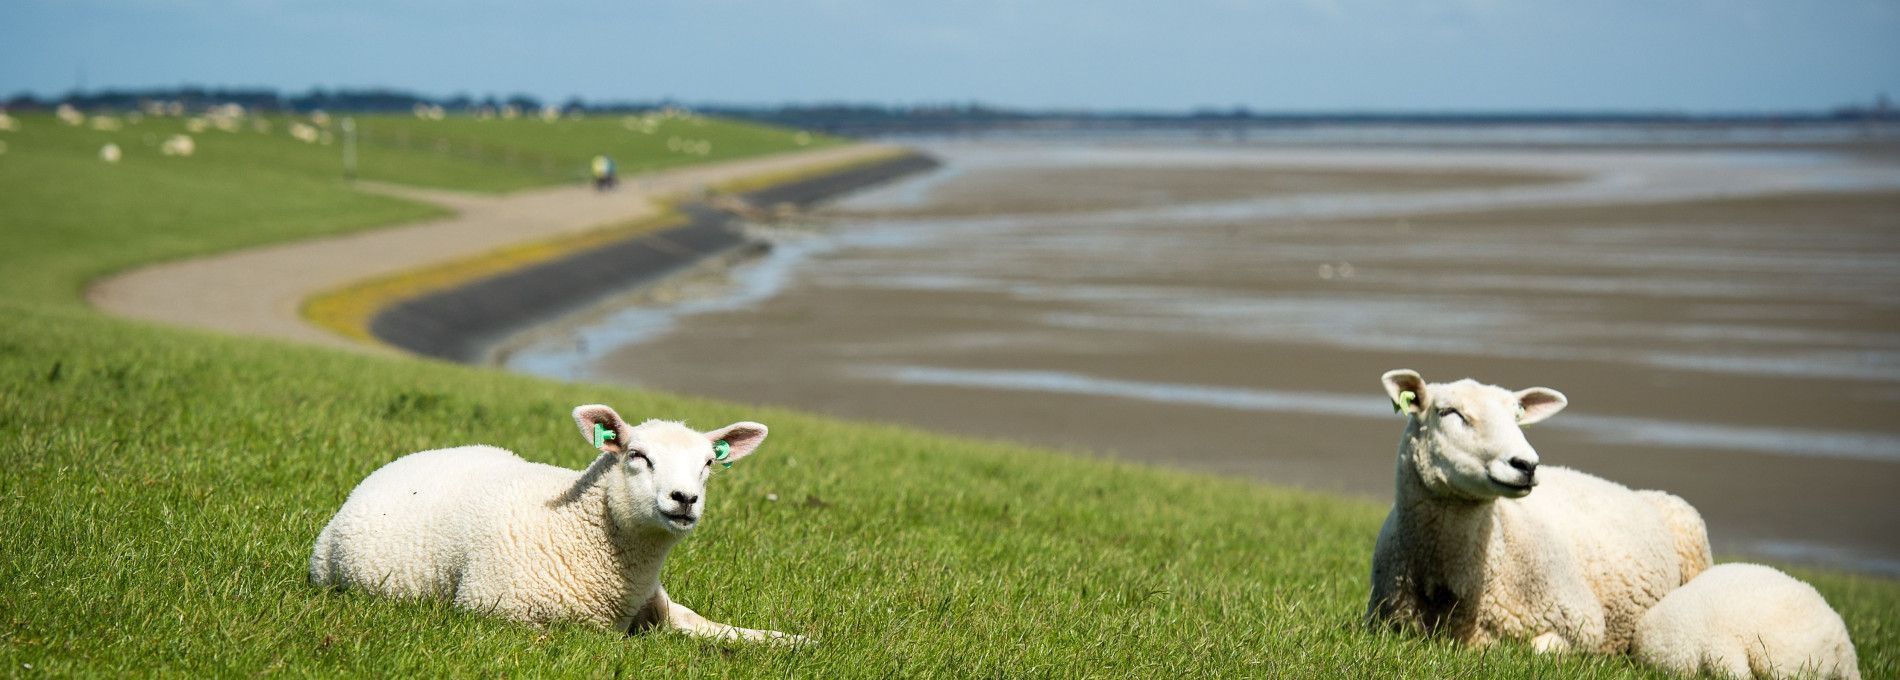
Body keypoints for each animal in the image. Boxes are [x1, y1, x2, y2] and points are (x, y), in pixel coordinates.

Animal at [311, 406, 801, 645]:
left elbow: (710, 626)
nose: (685, 499)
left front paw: (792, 641)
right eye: (637, 455)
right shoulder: (495, 612)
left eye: (707, 464)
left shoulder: (658, 604)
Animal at [1360, 368, 1717, 657]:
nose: (1526, 464)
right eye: (1449, 412)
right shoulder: (1385, 625)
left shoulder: (1584, 622)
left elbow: (1535, 649)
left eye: (1517, 416)